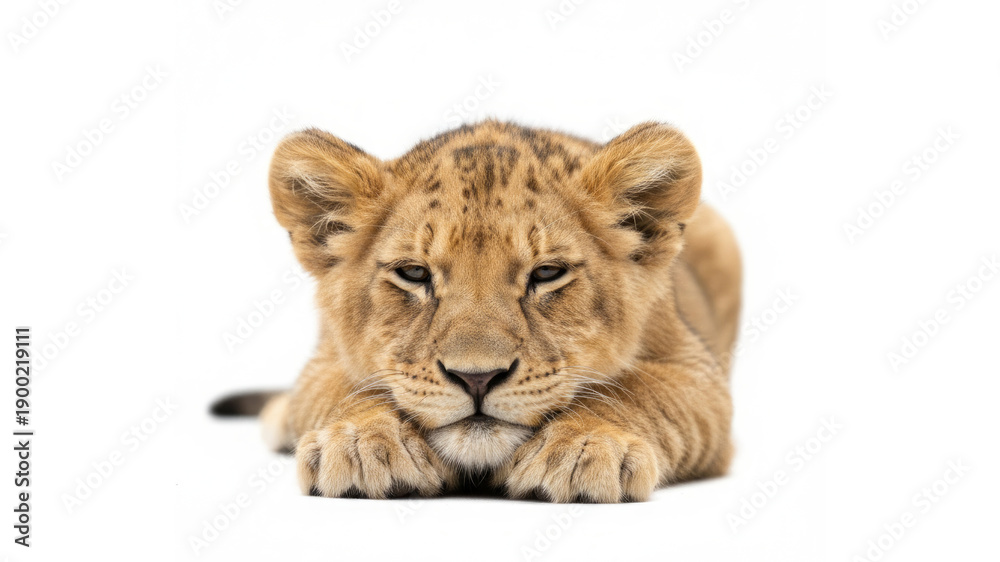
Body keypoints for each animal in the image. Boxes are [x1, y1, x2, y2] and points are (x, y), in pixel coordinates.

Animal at [213, 119, 742, 503]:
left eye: (547, 273)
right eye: (414, 273)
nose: (477, 378)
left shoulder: (700, 378)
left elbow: (636, 393)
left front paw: (583, 448)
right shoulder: (323, 363)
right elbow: (347, 389)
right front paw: (363, 443)